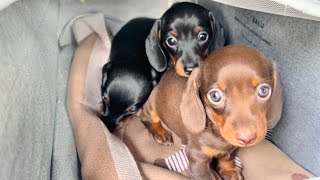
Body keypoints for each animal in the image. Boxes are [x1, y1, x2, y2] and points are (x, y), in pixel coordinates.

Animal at [141, 44, 282, 179]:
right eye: (215, 96)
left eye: (263, 91)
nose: (247, 138)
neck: (217, 132)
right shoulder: (196, 155)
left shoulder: (231, 146)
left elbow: (227, 156)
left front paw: (229, 170)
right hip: (151, 107)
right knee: (146, 119)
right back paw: (160, 133)